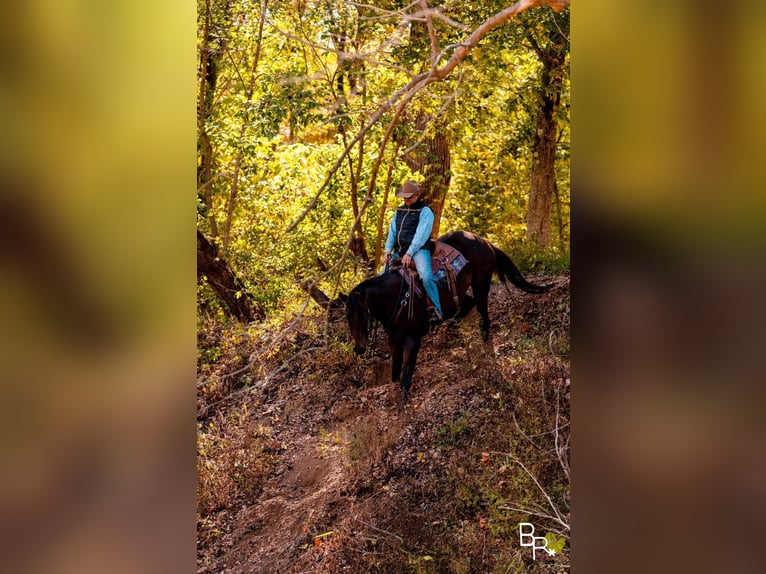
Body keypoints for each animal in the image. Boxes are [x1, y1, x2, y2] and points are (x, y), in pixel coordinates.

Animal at [344, 232, 552, 408]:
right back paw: (450, 328)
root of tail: (484, 241)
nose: (359, 348)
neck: (398, 296)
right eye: (347, 316)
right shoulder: (394, 340)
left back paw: (483, 344)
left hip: (481, 284)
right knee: (467, 304)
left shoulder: (413, 340)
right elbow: (395, 370)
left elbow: (406, 371)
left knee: (483, 316)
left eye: (364, 313)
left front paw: (403, 401)